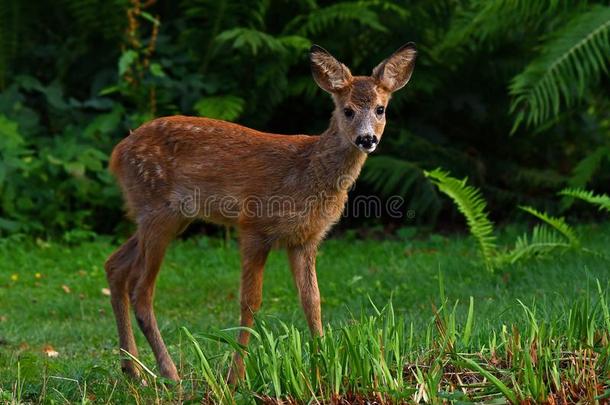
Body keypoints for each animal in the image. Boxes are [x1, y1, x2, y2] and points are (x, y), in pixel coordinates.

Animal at [107, 42, 416, 380]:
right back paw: (169, 374)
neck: (307, 172)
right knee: (141, 290)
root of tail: (117, 154)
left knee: (115, 266)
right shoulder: (253, 225)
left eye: (380, 109)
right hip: (157, 211)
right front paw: (235, 378)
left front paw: (322, 371)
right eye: (347, 110)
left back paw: (132, 369)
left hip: (168, 216)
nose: (367, 139)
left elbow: (312, 301)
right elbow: (250, 303)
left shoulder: (305, 240)